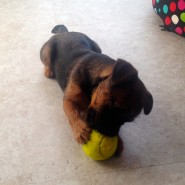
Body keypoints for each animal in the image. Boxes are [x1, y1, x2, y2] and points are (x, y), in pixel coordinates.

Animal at [39, 24, 152, 155]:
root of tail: (64, 32)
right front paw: (80, 129)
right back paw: (48, 70)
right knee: (46, 61)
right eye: (114, 105)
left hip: (97, 46)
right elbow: (72, 112)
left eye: (127, 120)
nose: (110, 135)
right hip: (46, 51)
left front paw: (118, 141)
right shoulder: (68, 100)